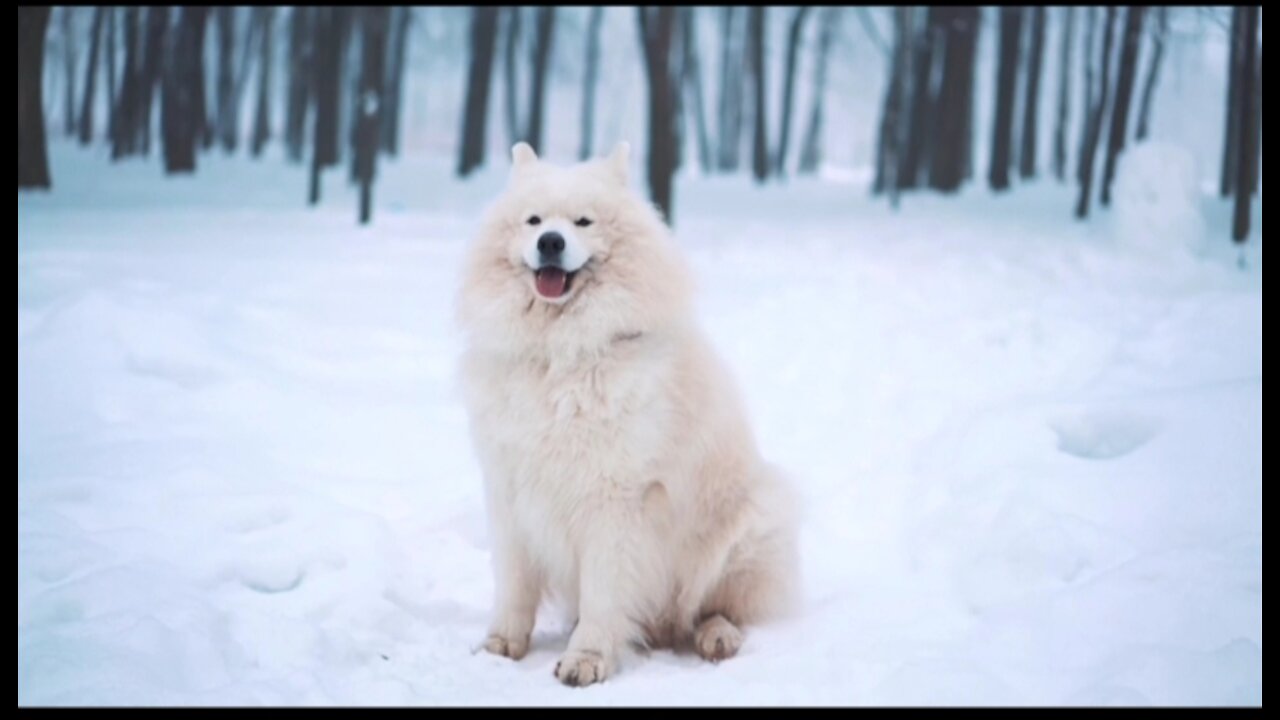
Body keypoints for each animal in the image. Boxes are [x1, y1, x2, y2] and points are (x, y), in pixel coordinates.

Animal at [458, 141, 798, 681]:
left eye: (583, 221)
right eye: (534, 221)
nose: (550, 242)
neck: (562, 355)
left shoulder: (615, 501)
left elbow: (603, 594)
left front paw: (587, 659)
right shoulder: (510, 491)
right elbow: (513, 585)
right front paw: (501, 645)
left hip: (749, 526)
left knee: (712, 608)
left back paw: (717, 636)